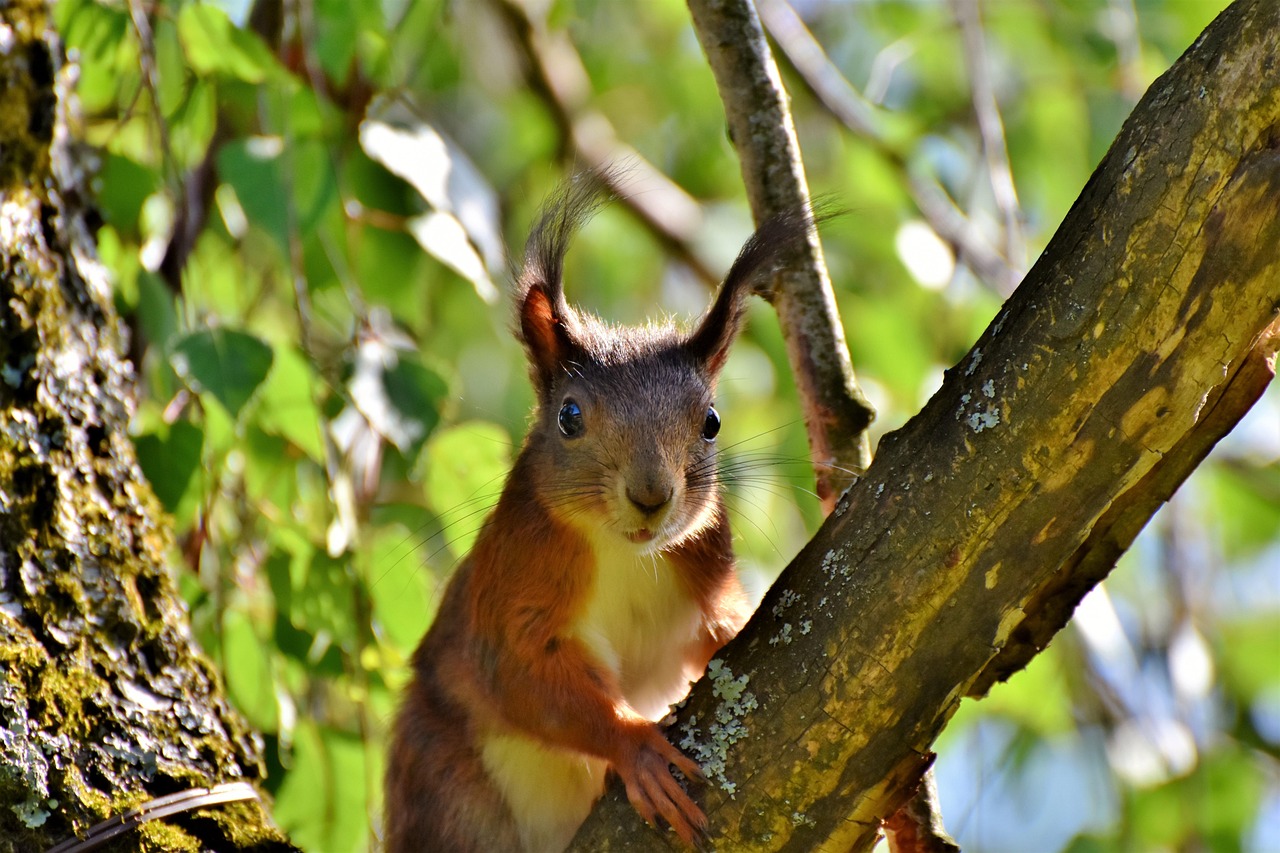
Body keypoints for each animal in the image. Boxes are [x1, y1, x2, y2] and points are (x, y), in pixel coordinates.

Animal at [384, 174, 814, 850]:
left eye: (712, 421)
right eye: (569, 417)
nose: (651, 496)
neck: (624, 553)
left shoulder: (707, 569)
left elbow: (721, 630)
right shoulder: (515, 583)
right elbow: (522, 676)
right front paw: (635, 746)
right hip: (444, 787)